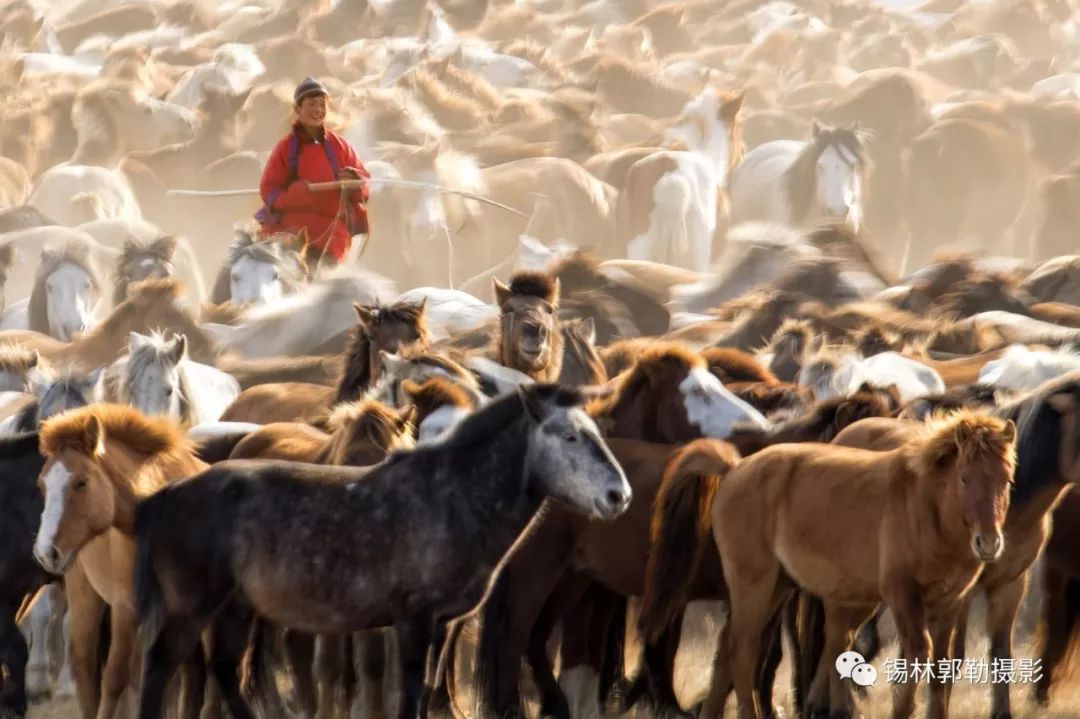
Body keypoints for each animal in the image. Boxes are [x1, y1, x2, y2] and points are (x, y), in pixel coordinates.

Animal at [33, 403, 206, 716]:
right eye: (42, 485)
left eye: (81, 482)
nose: (45, 552)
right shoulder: (127, 608)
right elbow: (115, 679)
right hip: (86, 603)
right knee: (86, 667)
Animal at [130, 384, 630, 716]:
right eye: (569, 436)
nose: (618, 496)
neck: (449, 496)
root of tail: (170, 494)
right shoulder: (413, 620)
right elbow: (410, 692)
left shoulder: (440, 626)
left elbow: (427, 690)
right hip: (193, 608)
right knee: (160, 668)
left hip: (235, 608)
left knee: (224, 672)